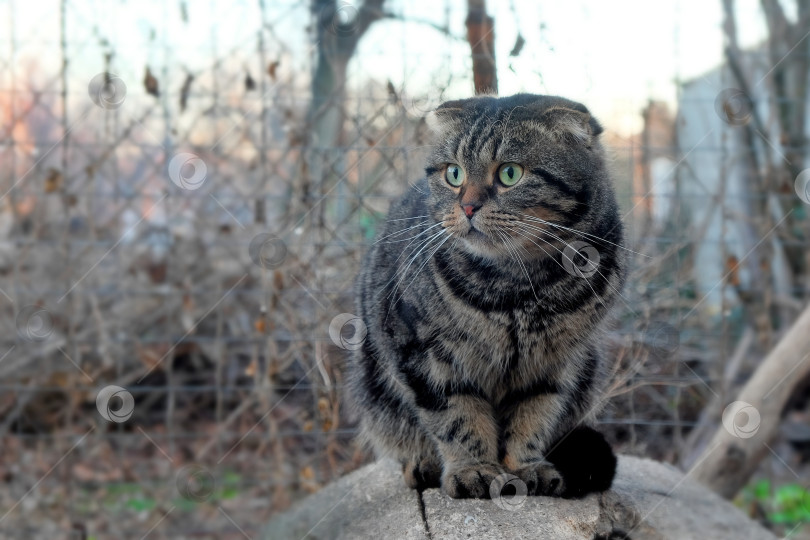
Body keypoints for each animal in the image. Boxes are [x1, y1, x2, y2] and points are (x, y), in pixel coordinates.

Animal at [348, 92, 624, 498]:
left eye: (510, 173)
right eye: (454, 174)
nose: (467, 206)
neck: (518, 288)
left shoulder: (556, 362)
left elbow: (533, 417)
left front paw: (524, 467)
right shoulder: (423, 352)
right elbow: (457, 418)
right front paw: (474, 469)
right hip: (373, 389)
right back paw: (422, 465)